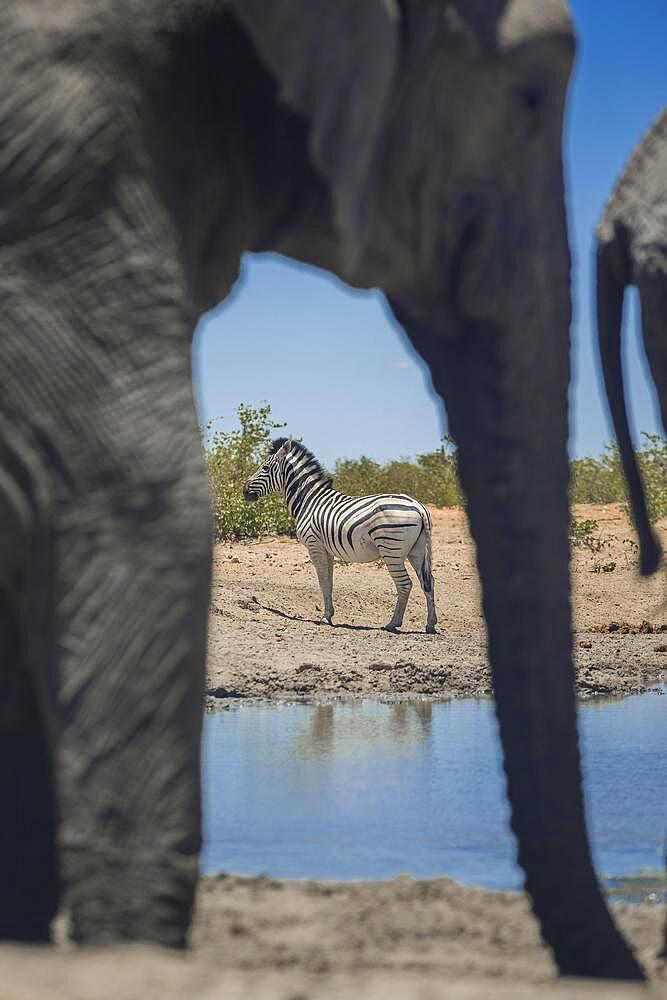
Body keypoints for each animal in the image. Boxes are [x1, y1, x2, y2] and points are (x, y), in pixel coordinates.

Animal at [241, 438, 438, 632]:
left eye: (265, 468)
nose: (244, 490)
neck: (309, 501)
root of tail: (419, 506)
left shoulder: (314, 545)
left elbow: (323, 581)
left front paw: (325, 618)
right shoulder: (326, 549)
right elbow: (329, 582)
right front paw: (329, 614)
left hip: (392, 549)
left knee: (405, 584)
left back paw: (393, 623)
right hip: (417, 551)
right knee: (428, 582)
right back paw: (430, 624)